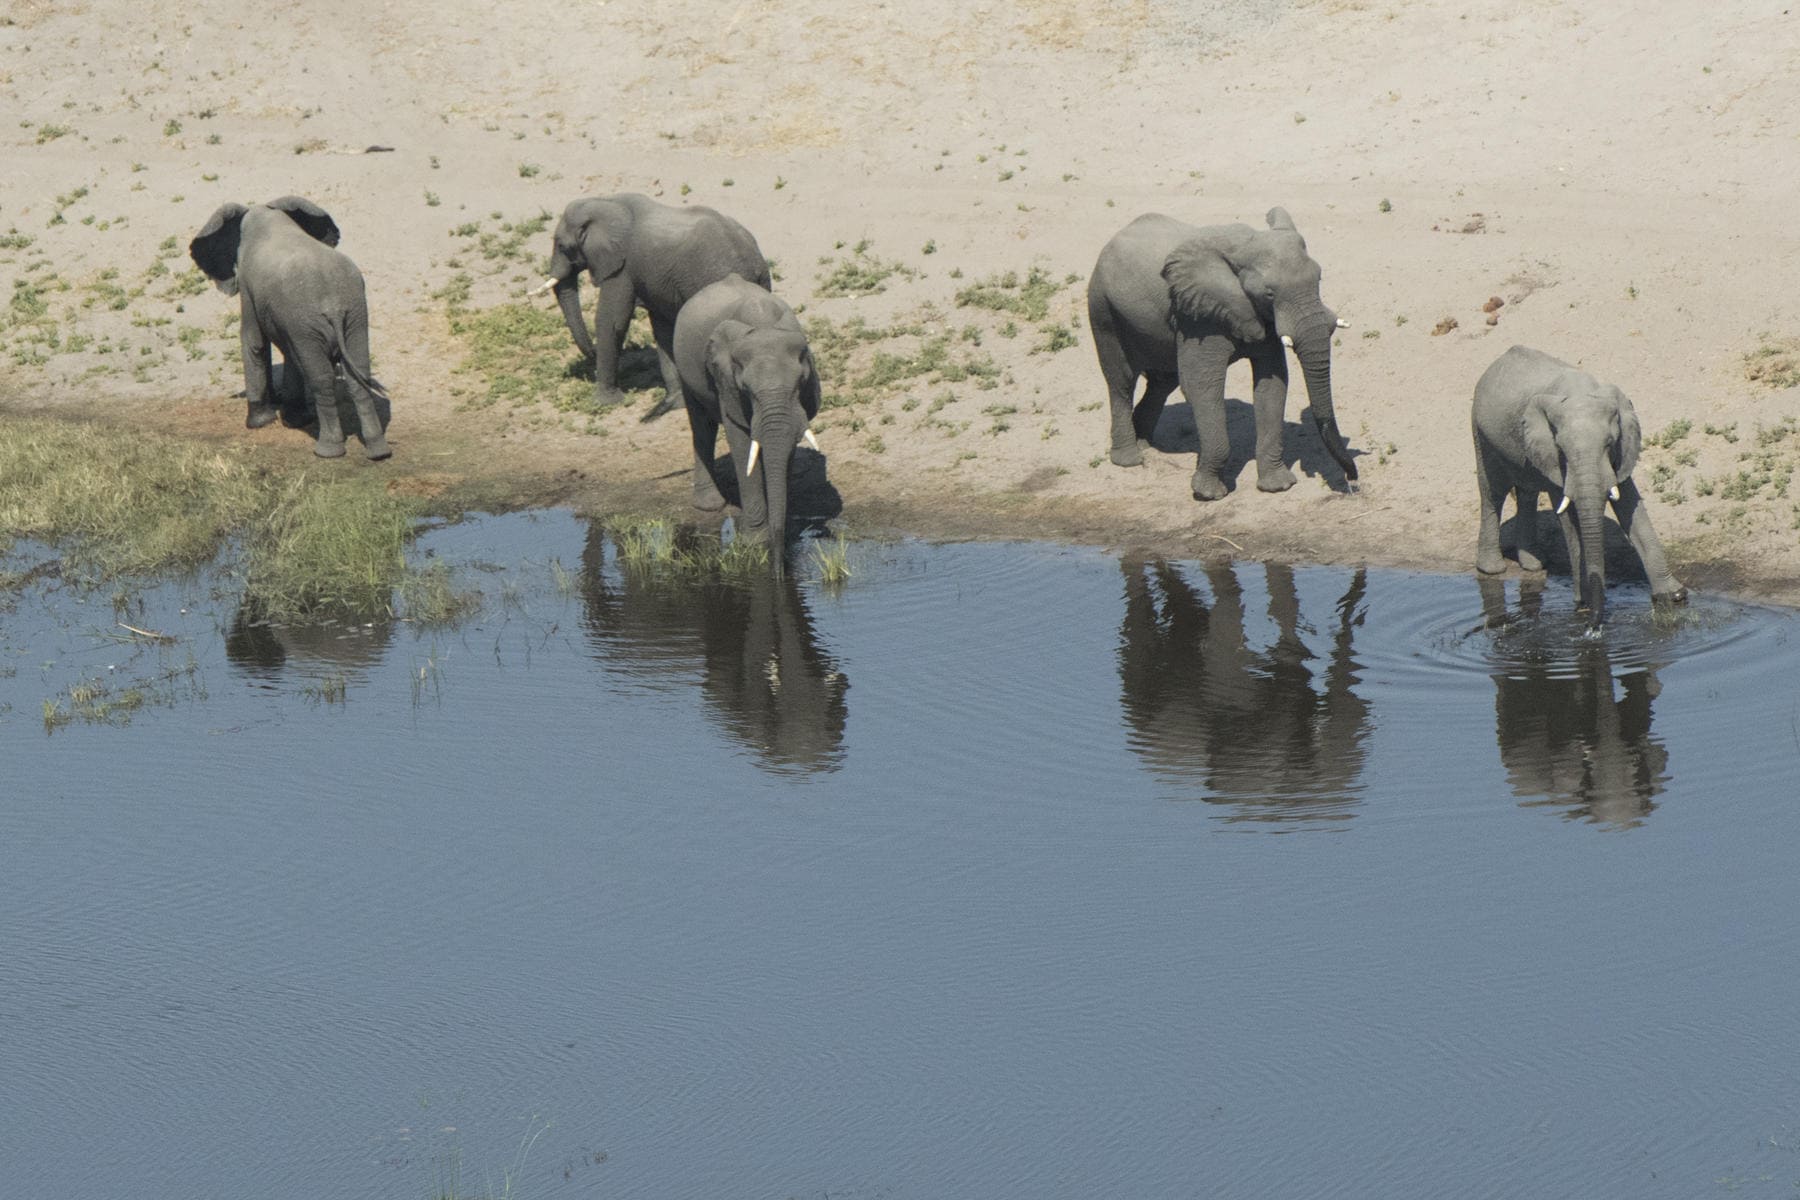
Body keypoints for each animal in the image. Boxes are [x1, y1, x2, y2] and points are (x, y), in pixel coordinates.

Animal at [189, 196, 391, 460]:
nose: (275, 398)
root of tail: (334, 306)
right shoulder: (291, 320)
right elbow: (289, 353)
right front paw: (295, 420)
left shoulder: (249, 287)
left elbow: (254, 343)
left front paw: (260, 422)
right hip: (352, 315)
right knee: (358, 375)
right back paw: (378, 452)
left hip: (315, 318)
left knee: (321, 379)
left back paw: (327, 451)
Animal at [533, 193, 770, 415]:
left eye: (562, 246)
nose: (591, 353)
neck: (605, 202)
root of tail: (754, 262)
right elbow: (662, 329)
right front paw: (675, 403)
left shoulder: (622, 267)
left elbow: (612, 321)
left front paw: (604, 402)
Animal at [671, 274, 822, 574]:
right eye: (748, 391)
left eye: (799, 385)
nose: (779, 572)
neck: (763, 326)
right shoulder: (726, 382)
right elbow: (741, 440)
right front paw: (756, 542)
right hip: (685, 368)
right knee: (702, 426)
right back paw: (709, 506)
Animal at [1086, 207, 1358, 499]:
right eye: (1269, 294)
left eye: (1319, 278)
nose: (1352, 482)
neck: (1244, 247)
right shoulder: (1200, 316)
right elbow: (1201, 386)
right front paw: (1208, 494)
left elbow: (1272, 383)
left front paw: (1278, 486)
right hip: (1102, 308)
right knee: (1121, 381)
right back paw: (1129, 458)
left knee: (1162, 382)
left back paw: (1144, 442)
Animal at [1472, 345, 1686, 628]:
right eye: (1561, 448)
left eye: (1609, 443)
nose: (1593, 625)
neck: (1579, 393)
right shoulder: (1554, 458)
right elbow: (1571, 521)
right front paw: (1583, 606)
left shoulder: (1621, 452)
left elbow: (1631, 507)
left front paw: (1674, 596)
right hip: (1481, 431)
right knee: (1493, 493)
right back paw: (1493, 568)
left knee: (1527, 491)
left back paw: (1534, 565)